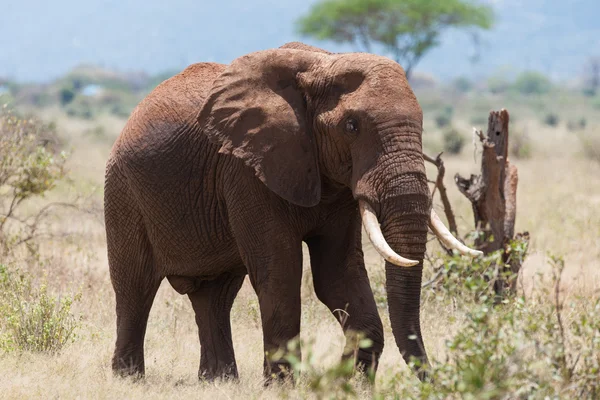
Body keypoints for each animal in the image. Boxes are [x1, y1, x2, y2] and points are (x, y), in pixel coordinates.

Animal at [104, 42, 478, 382]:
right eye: (352, 126)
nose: (435, 378)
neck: (323, 65)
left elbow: (336, 272)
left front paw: (349, 383)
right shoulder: (247, 169)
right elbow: (280, 270)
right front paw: (282, 386)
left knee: (215, 295)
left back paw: (218, 381)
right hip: (122, 190)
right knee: (135, 287)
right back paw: (129, 379)